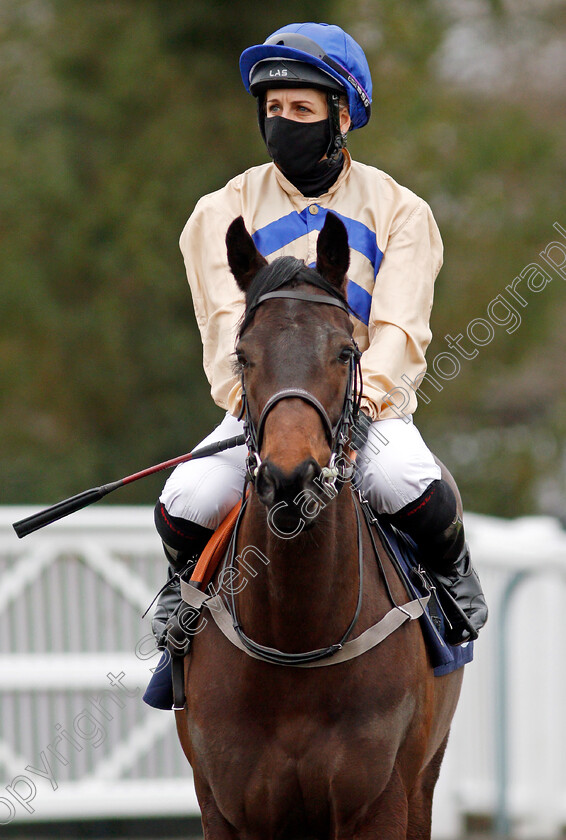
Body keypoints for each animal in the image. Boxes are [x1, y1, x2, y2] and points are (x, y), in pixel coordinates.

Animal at [175, 213, 464, 836]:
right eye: (243, 355)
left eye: (345, 351)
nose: (291, 477)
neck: (296, 637)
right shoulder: (225, 807)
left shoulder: (380, 801)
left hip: (425, 777)